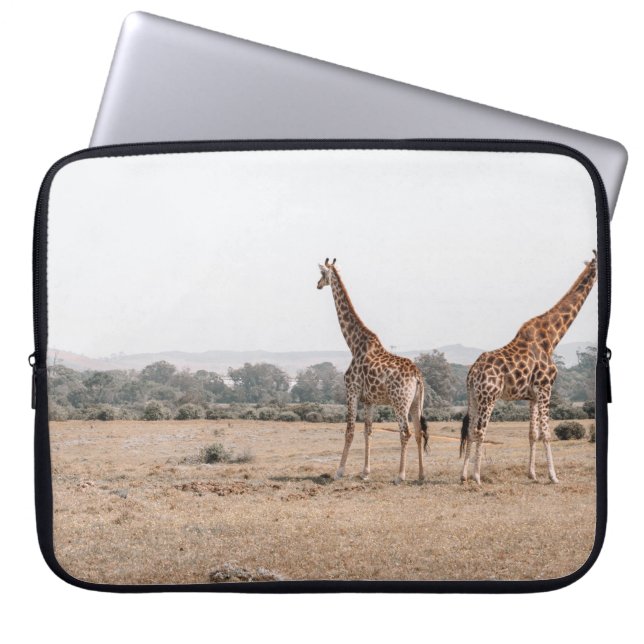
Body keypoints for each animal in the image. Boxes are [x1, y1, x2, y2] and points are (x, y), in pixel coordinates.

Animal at [317, 258, 428, 483]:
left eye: (322, 274)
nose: (317, 284)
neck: (354, 344)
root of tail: (417, 376)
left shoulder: (351, 391)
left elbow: (350, 430)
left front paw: (339, 471)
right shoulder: (369, 399)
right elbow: (368, 431)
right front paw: (365, 472)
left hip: (399, 402)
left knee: (405, 433)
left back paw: (400, 476)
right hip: (415, 403)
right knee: (419, 432)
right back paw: (421, 475)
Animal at [460, 251, 597, 485]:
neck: (552, 338)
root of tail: (472, 372)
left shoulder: (532, 396)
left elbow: (533, 434)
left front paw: (532, 474)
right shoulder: (545, 388)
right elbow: (547, 433)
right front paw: (553, 476)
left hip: (474, 397)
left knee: (469, 430)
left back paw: (463, 476)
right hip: (489, 396)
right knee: (479, 430)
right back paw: (477, 477)